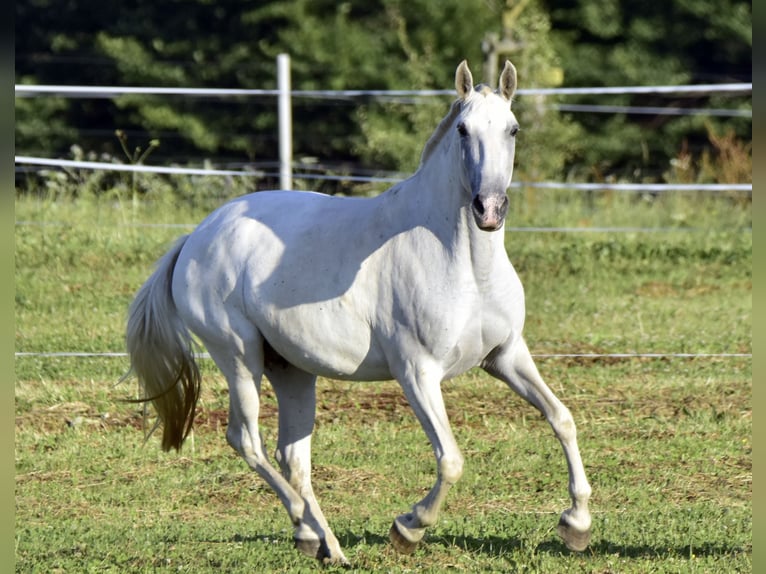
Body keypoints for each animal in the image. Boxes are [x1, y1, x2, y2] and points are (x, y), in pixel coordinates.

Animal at [126, 60, 592, 564]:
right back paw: (305, 524)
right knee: (247, 440)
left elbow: (562, 418)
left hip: (291, 371)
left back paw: (323, 544)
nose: (488, 209)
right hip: (238, 356)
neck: (464, 264)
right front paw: (407, 528)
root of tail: (196, 237)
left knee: (293, 457)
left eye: (513, 128)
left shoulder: (506, 356)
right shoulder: (417, 372)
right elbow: (450, 460)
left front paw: (576, 525)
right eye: (463, 130)